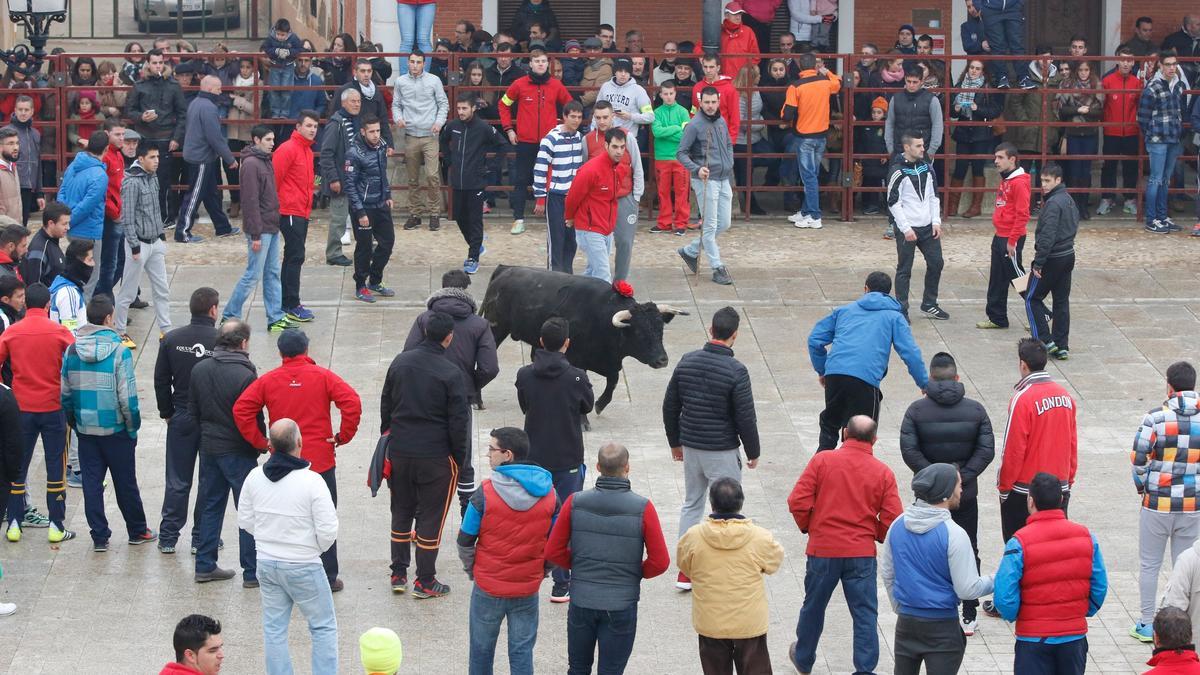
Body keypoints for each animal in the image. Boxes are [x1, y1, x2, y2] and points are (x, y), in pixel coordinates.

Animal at [475, 263, 686, 410]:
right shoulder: (578, 360)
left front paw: (600, 405)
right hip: (497, 330)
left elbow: (613, 381)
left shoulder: (609, 362)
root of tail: (504, 269)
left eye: (660, 330)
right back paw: (478, 400)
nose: (662, 360)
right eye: (640, 333)